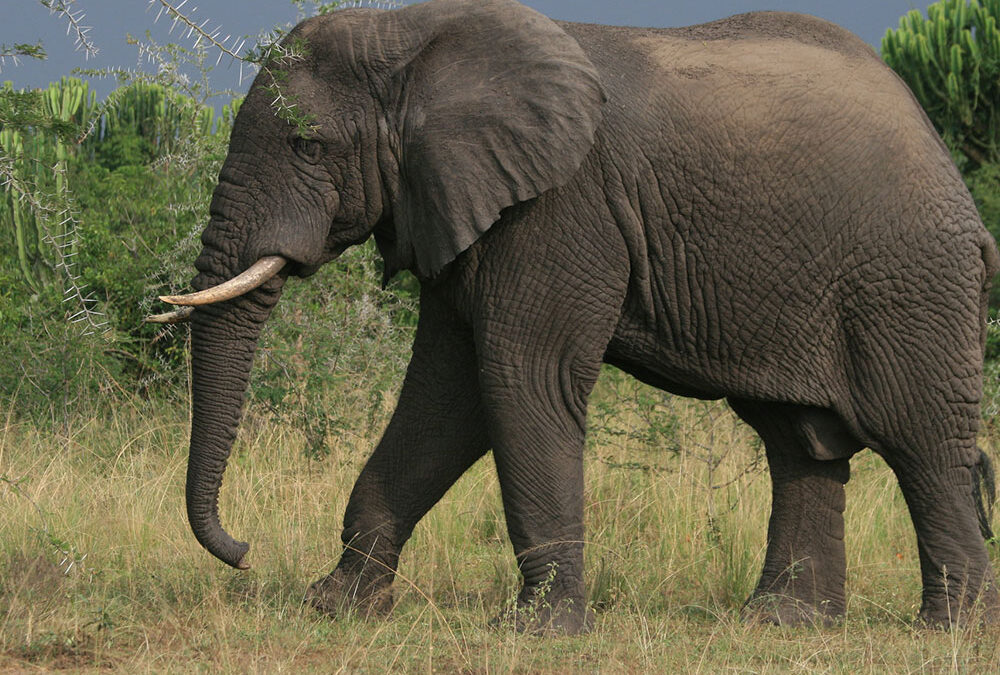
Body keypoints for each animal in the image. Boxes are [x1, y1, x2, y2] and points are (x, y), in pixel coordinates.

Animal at [151, 0, 1000, 633]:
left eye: (308, 144)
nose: (245, 549)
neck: (416, 33)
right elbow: (446, 397)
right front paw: (338, 606)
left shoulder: (561, 207)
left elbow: (521, 376)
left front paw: (542, 632)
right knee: (799, 441)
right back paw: (781, 621)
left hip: (909, 281)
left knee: (924, 441)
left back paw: (948, 627)